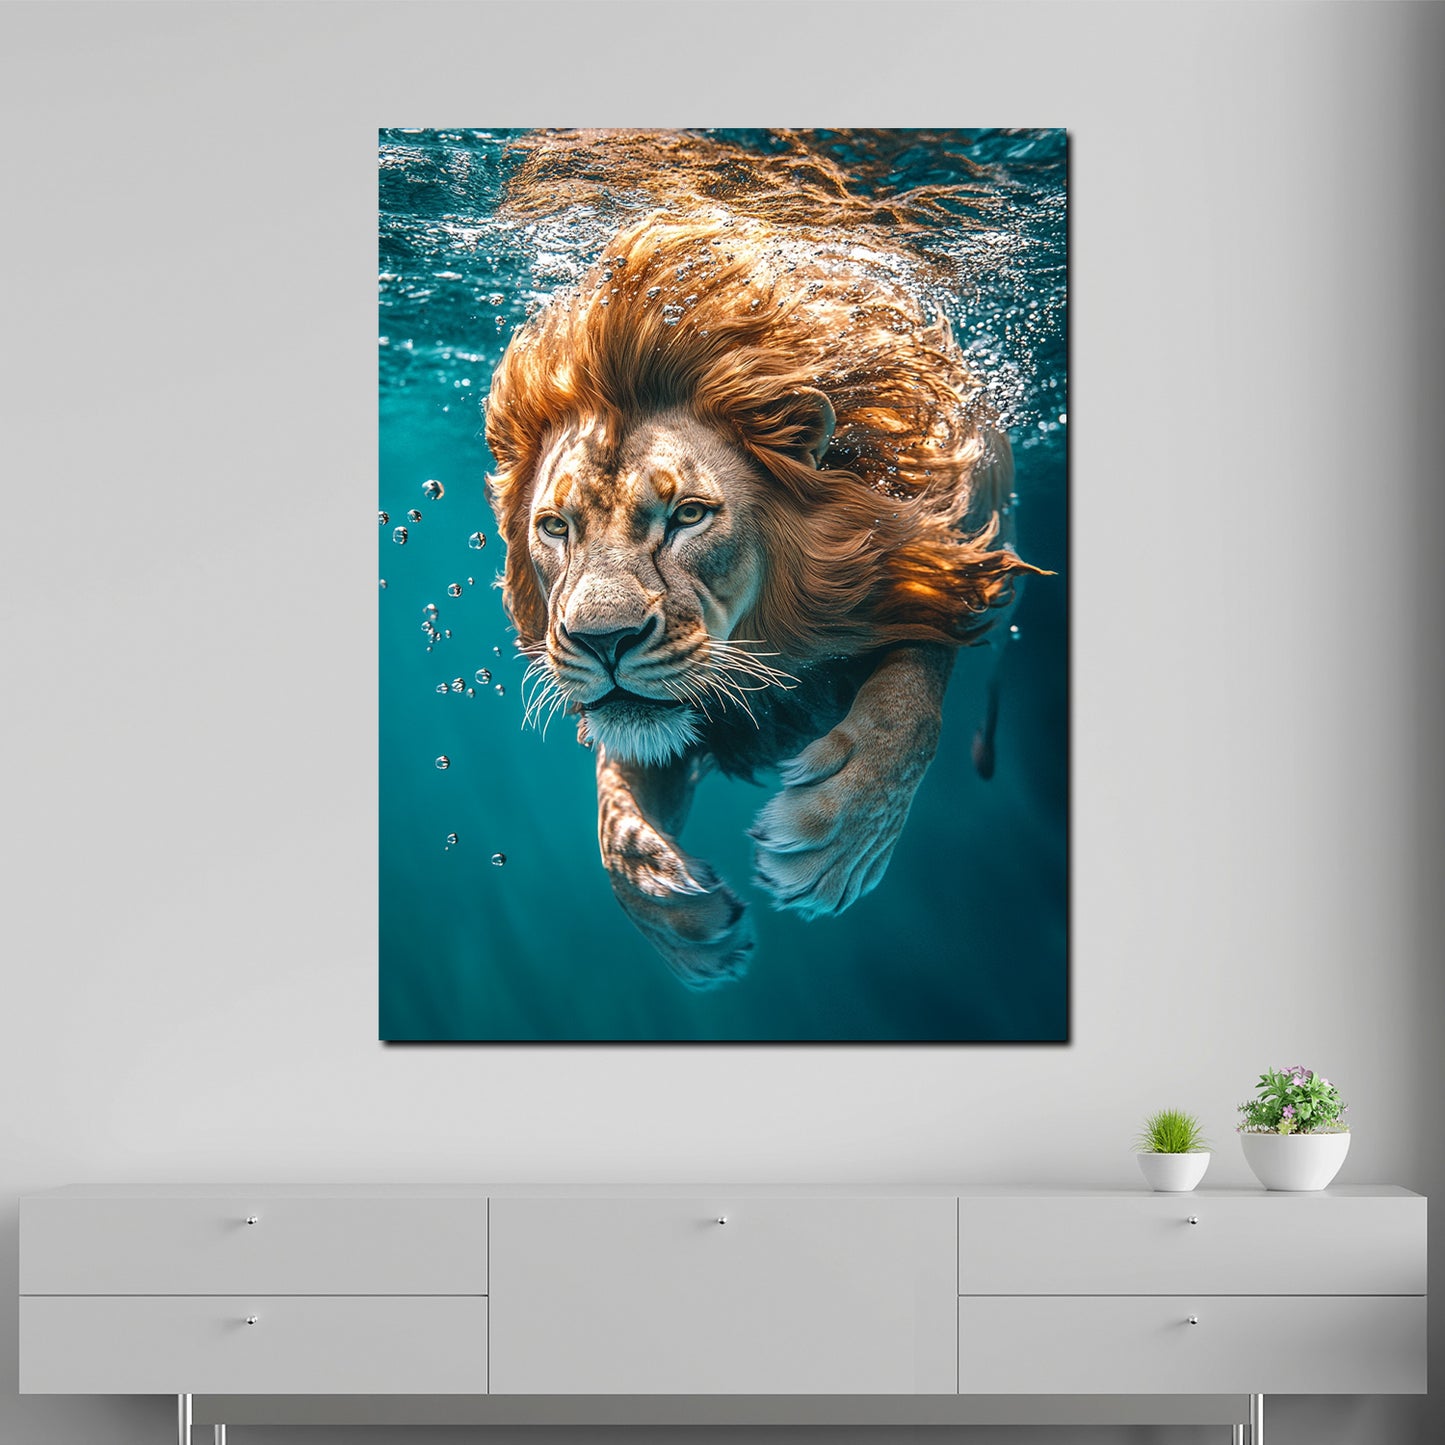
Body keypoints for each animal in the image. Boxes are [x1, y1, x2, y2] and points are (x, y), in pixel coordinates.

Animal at [483, 133, 1043, 988]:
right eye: (555, 527)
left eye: (686, 515)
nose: (602, 641)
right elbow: (615, 791)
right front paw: (665, 898)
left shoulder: (929, 555)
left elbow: (910, 694)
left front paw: (840, 831)